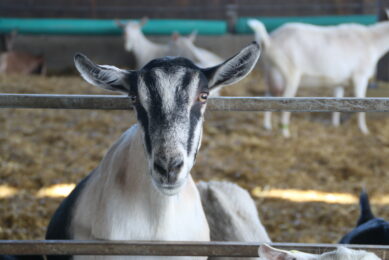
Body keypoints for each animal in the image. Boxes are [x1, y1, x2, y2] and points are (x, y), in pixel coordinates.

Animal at [247, 14, 388, 137]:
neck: (371, 41)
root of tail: (269, 41)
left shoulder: (339, 81)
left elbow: (338, 100)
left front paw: (335, 125)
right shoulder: (360, 76)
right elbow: (362, 102)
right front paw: (364, 130)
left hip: (270, 73)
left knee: (268, 96)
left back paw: (267, 126)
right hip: (290, 74)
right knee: (284, 101)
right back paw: (285, 133)